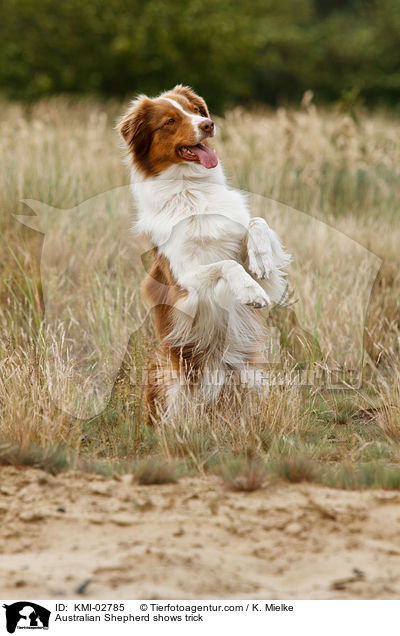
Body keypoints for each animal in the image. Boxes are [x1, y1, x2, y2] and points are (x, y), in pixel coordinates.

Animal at [119, 84, 290, 422]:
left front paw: (261, 259)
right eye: (170, 121)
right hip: (167, 371)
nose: (208, 125)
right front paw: (250, 291)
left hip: (252, 375)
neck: (190, 191)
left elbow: (257, 223)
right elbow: (225, 265)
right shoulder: (184, 287)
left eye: (195, 111)